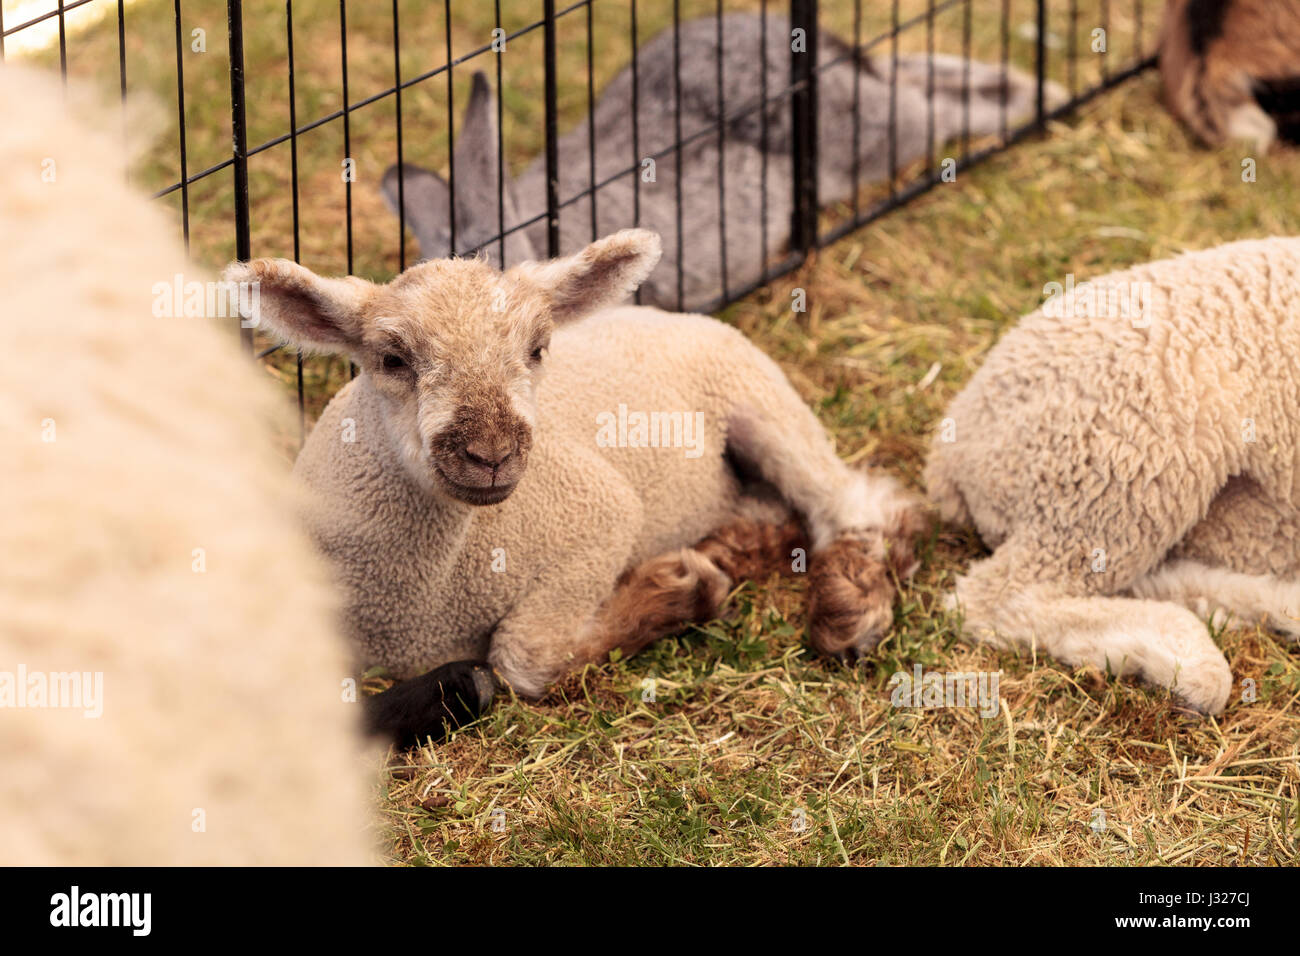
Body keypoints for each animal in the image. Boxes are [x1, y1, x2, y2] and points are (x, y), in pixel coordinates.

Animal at [223, 230, 926, 714]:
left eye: (538, 349)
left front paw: (677, 588)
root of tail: (656, 311)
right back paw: (739, 542)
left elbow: (524, 658)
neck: (423, 597)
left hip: (756, 394)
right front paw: (690, 579)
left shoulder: (598, 513)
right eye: (392, 359)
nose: (492, 452)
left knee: (854, 502)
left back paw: (848, 606)